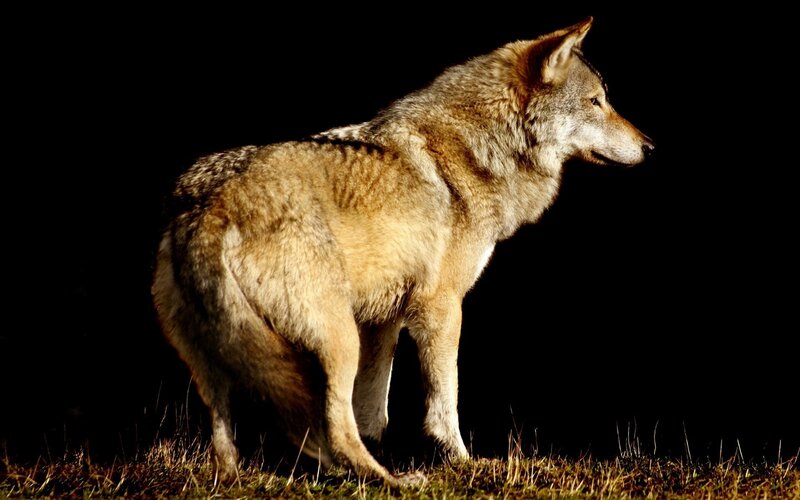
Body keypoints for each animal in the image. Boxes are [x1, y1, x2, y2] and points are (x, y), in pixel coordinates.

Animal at [152, 17, 653, 486]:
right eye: (596, 102)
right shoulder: (440, 306)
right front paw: (462, 462)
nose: (649, 146)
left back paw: (242, 476)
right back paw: (391, 480)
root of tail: (212, 202)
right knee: (335, 428)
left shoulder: (384, 319)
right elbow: (444, 398)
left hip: (222, 361)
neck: (484, 149)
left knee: (228, 435)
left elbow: (375, 409)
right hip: (337, 339)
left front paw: (391, 447)